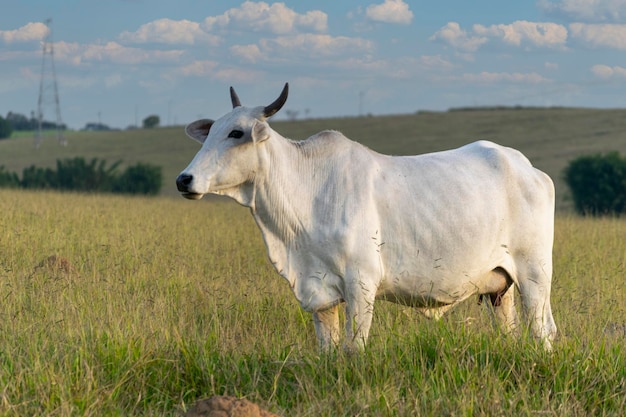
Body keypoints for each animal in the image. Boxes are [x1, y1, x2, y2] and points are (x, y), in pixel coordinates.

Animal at [177, 84, 556, 352]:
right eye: (212, 131)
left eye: (236, 133)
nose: (184, 179)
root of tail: (527, 167)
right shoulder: (319, 294)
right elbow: (328, 350)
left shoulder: (362, 284)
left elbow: (354, 347)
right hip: (499, 290)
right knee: (513, 332)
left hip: (534, 275)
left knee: (543, 332)